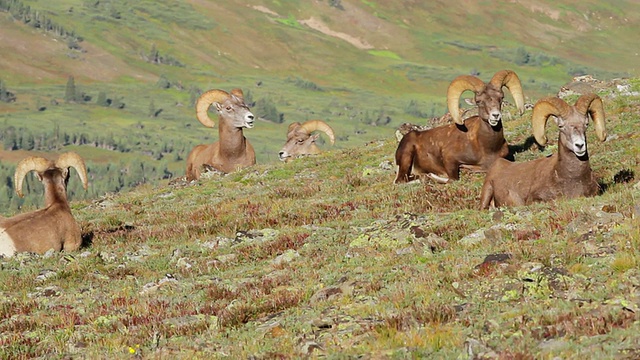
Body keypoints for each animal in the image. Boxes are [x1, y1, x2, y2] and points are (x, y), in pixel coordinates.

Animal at [396, 69, 524, 184]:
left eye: (501, 97)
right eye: (479, 101)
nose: (495, 115)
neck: (489, 148)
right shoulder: (450, 160)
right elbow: (453, 179)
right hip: (407, 156)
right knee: (401, 181)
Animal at [478, 94, 608, 210]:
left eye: (586, 124)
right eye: (561, 126)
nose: (580, 145)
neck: (572, 178)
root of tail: (499, 163)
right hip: (487, 191)